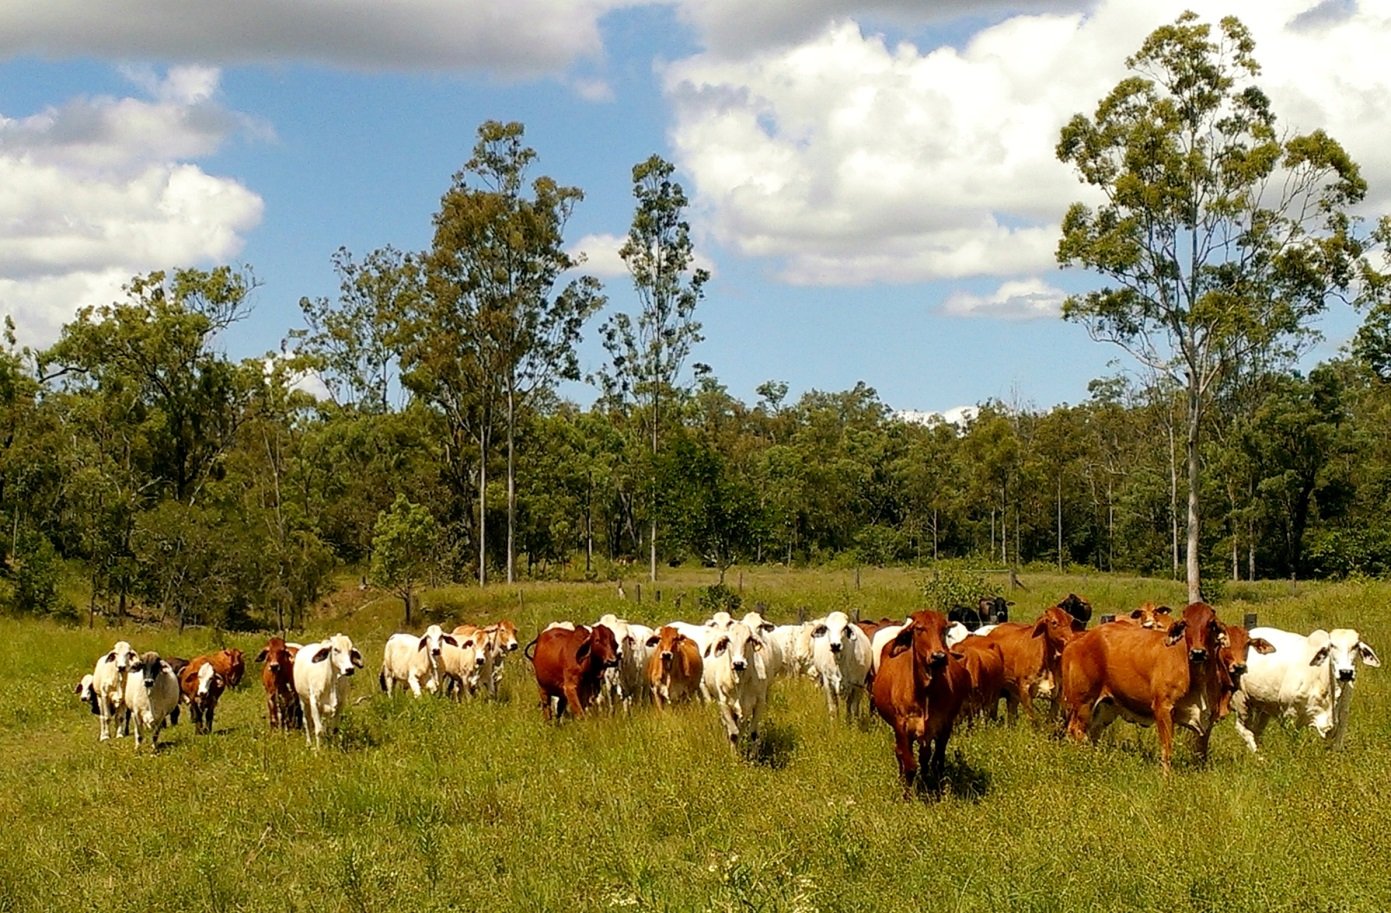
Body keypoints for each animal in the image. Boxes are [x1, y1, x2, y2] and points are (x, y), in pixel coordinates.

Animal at [706, 617, 773, 745]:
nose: (738, 664)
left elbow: (753, 734)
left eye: (748, 639)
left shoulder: (759, 703)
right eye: (728, 640)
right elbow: (733, 734)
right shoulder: (724, 704)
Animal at [867, 609, 968, 796]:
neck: (924, 692)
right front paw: (907, 795)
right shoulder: (902, 728)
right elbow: (909, 765)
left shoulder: (944, 726)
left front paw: (935, 791)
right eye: (919, 629)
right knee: (900, 753)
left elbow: (937, 761)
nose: (938, 656)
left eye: (944, 629)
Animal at [1062, 606, 1229, 768]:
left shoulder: (1209, 717)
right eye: (1185, 623)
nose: (1198, 653)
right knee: (1076, 730)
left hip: (1105, 708)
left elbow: (1201, 754)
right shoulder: (1163, 708)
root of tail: (1079, 636)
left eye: (1211, 623)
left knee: (1093, 732)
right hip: (1083, 702)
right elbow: (1167, 750)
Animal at [1235, 629, 1374, 751]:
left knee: (1256, 731)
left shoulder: (1341, 721)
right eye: (1332, 645)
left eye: (1355, 646)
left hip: (1264, 706)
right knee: (1244, 729)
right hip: (1241, 700)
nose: (1346, 672)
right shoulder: (1289, 715)